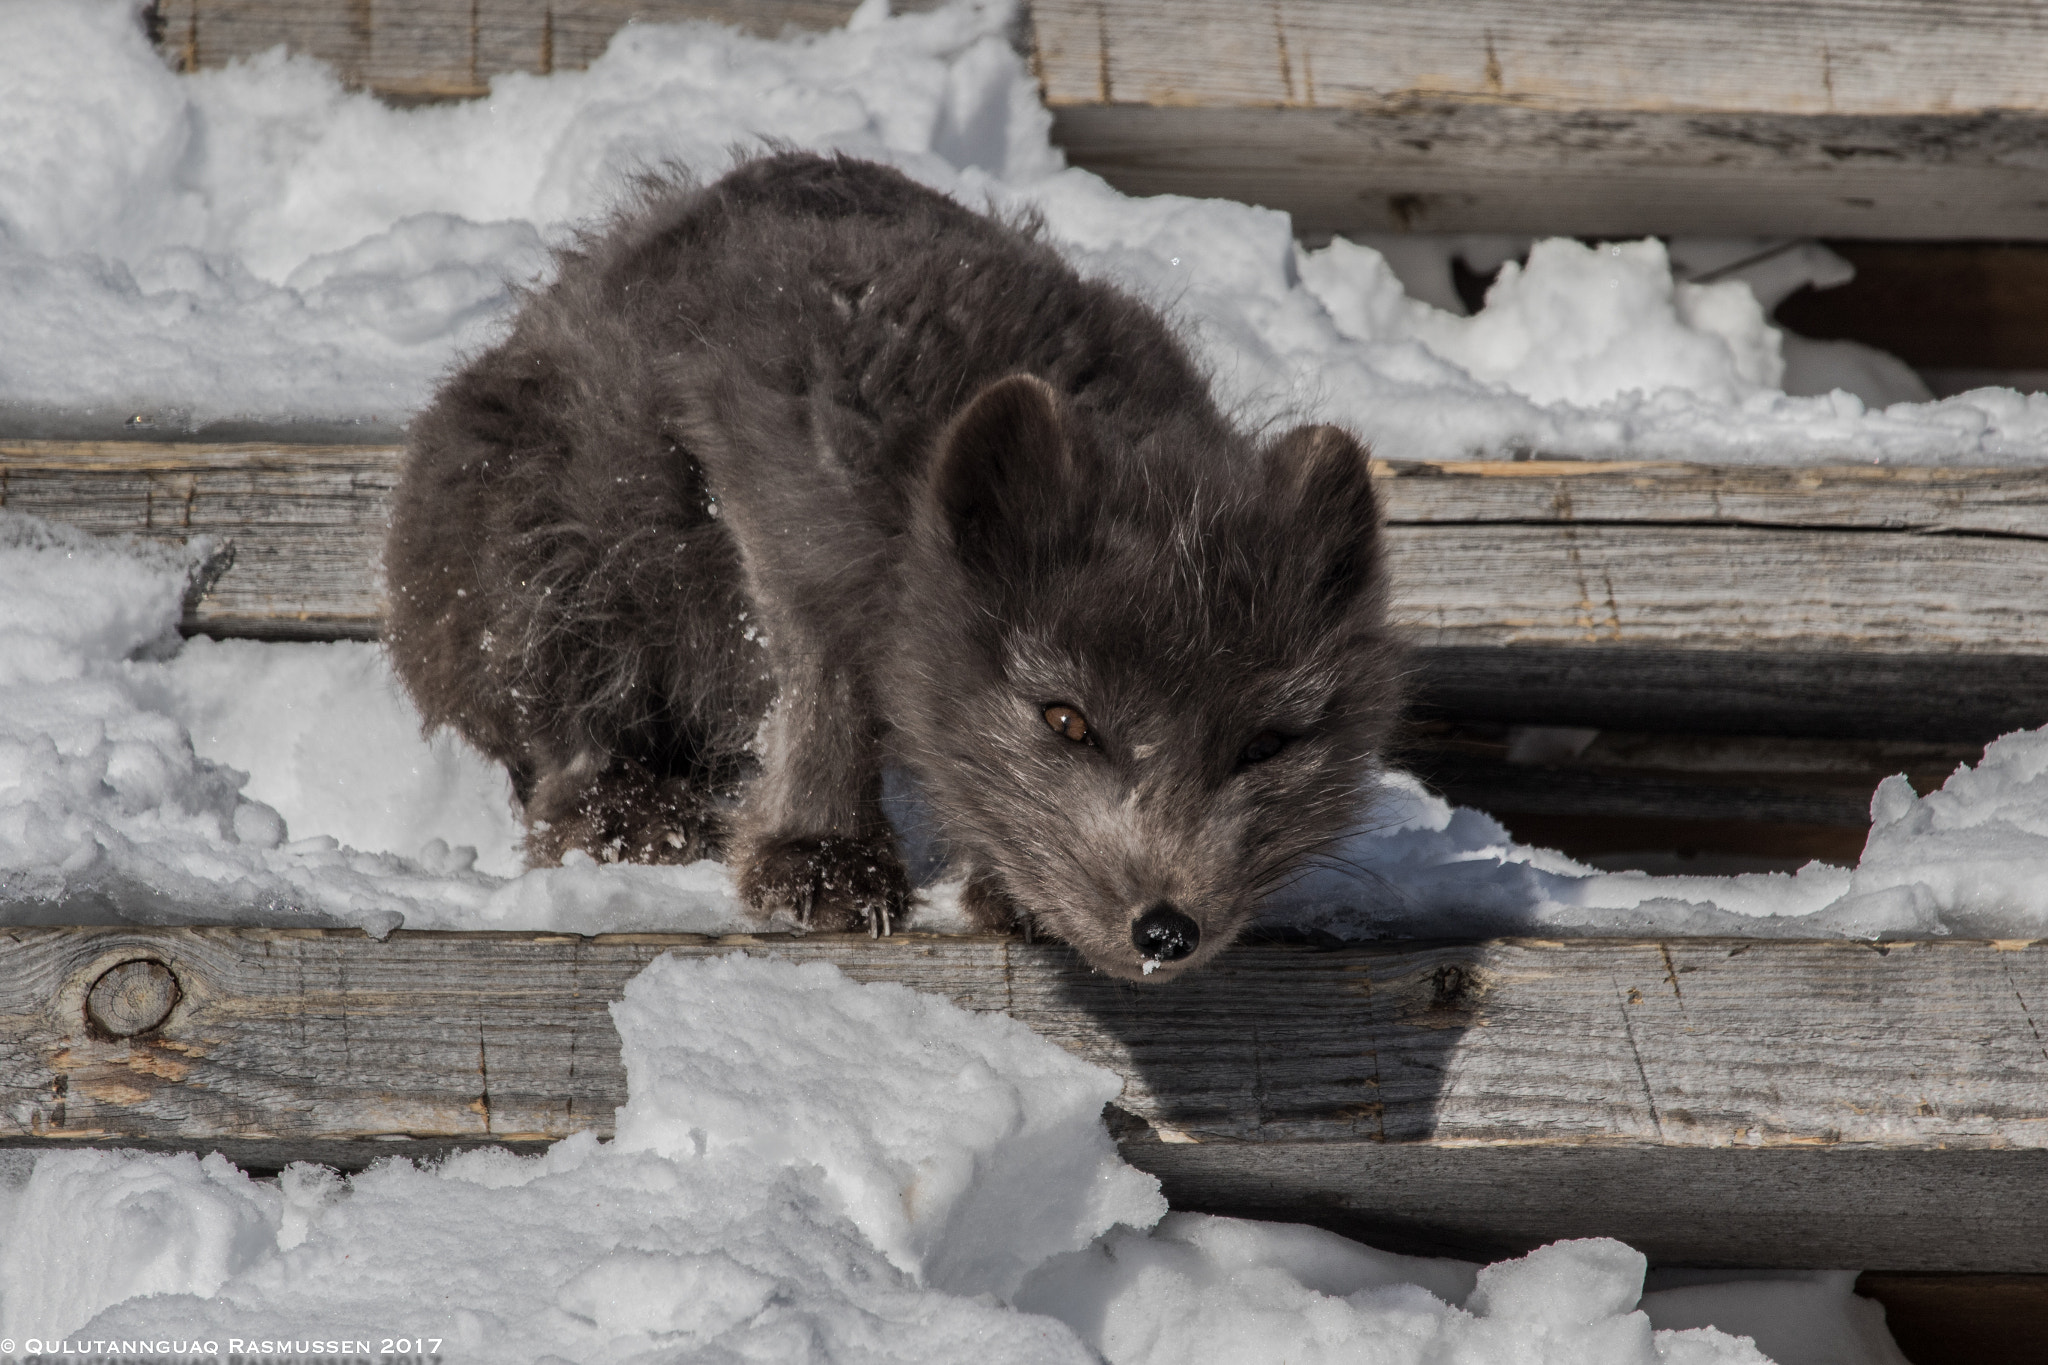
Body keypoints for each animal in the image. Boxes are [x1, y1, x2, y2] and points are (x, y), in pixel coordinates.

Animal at [380, 152, 1409, 982]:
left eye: (1266, 745)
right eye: (1065, 719)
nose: (1165, 932)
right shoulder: (763, 481)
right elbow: (817, 668)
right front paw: (816, 856)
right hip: (537, 530)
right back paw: (627, 809)